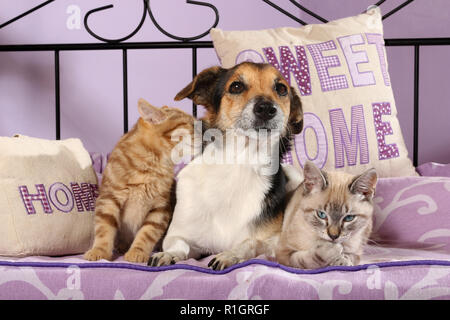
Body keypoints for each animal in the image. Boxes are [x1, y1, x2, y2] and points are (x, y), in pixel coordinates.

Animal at [84, 98, 193, 262]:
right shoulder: (109, 198)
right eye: (190, 124)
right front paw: (100, 251)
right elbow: (104, 227)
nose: (205, 128)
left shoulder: (160, 208)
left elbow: (147, 232)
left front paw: (137, 251)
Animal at [148, 62, 302, 270]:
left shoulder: (275, 241)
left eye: (281, 89)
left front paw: (230, 255)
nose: (266, 108)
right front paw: (168, 254)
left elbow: (250, 243)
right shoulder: (180, 234)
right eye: (236, 86)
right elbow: (179, 244)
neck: (239, 162)